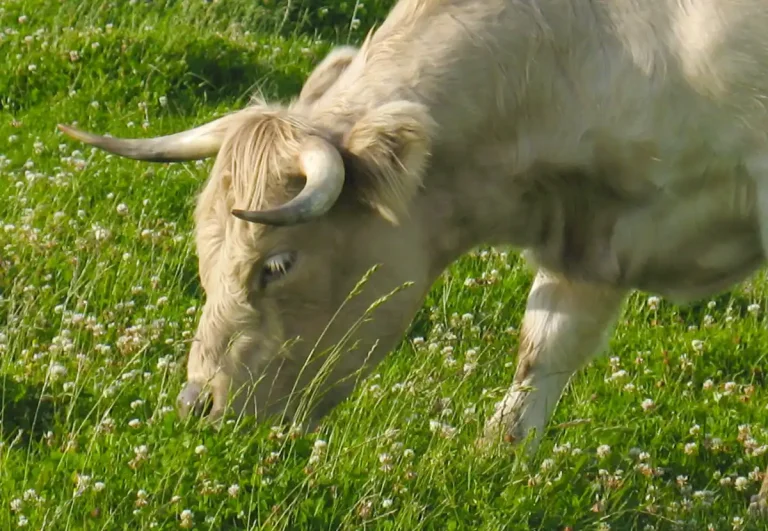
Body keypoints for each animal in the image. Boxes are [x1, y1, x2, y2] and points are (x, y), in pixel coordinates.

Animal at [59, 0, 768, 513]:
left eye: (276, 265)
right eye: (204, 256)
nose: (196, 407)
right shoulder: (592, 241)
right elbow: (542, 354)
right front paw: (497, 456)